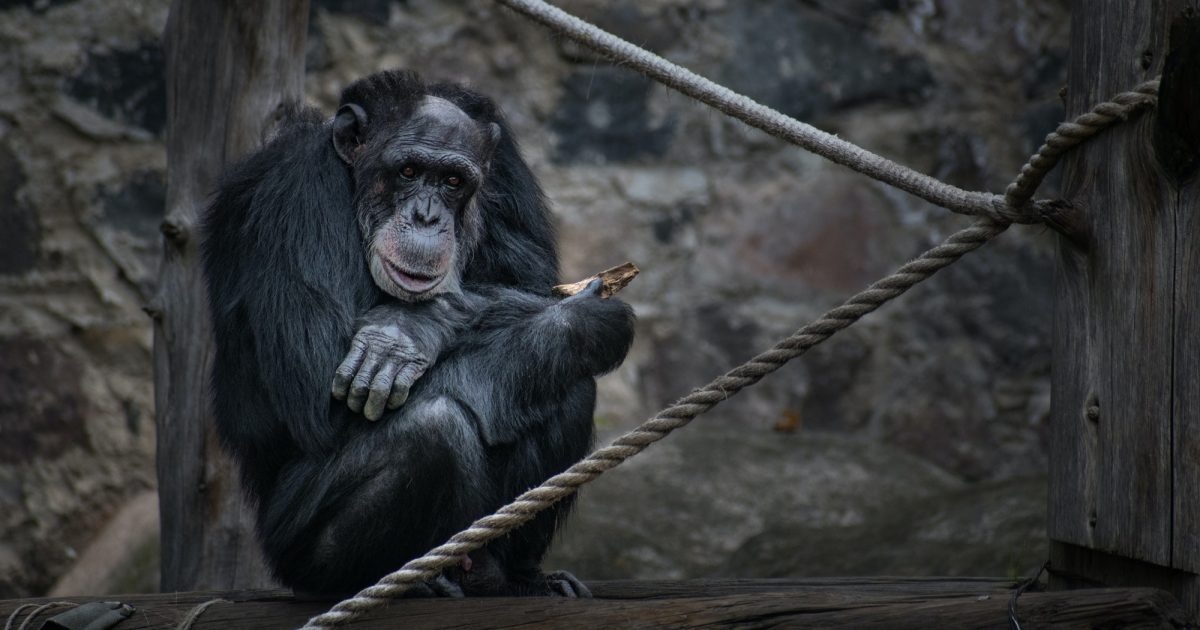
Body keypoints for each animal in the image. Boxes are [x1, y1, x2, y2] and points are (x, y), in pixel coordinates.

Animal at [201, 71, 638, 597]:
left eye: (453, 182)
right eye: (408, 171)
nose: (427, 217)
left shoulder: (506, 170)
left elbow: (532, 281)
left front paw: (411, 329)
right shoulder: (295, 195)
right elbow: (319, 395)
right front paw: (585, 321)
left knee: (566, 385)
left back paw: (515, 577)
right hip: (292, 551)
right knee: (434, 428)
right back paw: (395, 582)